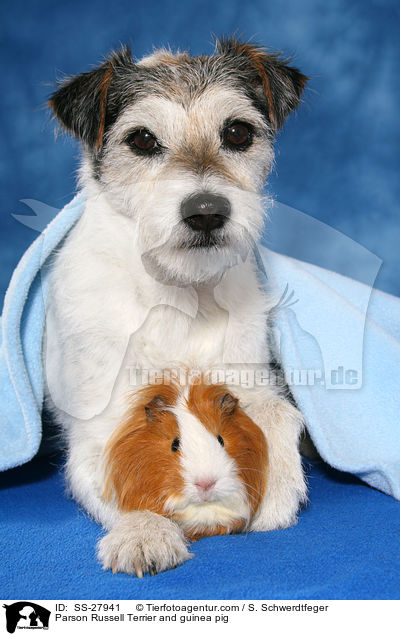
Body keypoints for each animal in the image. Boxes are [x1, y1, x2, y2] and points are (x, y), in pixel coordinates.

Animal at [45, 37, 310, 580]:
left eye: (237, 132)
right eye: (143, 140)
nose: (206, 212)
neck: (184, 296)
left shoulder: (247, 379)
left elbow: (277, 415)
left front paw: (276, 488)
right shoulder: (103, 423)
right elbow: (123, 468)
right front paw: (145, 530)